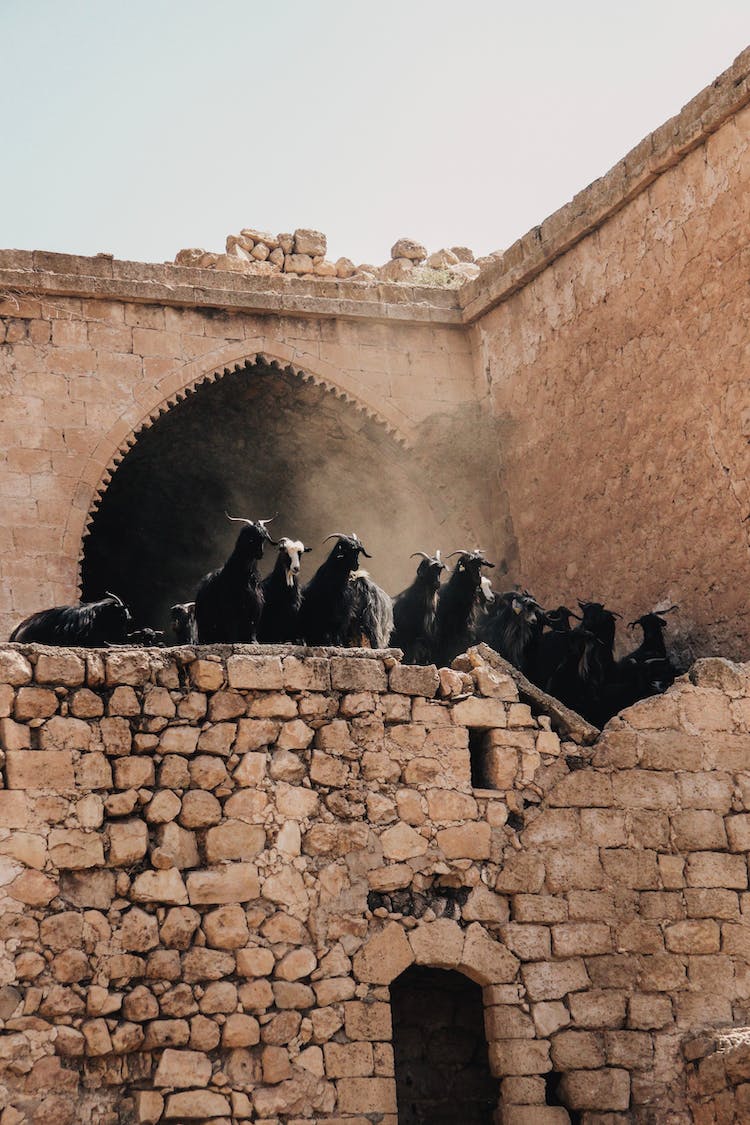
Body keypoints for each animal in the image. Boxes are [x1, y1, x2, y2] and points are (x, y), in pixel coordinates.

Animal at [195, 513, 277, 643]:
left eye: (263, 539)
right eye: (251, 539)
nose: (260, 553)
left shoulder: (255, 604)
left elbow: (252, 625)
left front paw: (254, 641)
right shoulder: (230, 605)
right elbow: (232, 625)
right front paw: (234, 641)